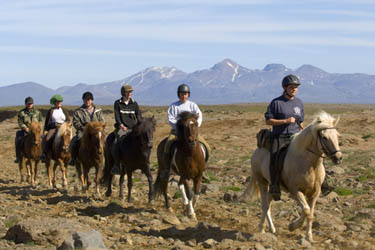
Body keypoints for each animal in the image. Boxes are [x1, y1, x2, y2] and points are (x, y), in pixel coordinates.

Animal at [244, 111, 344, 242]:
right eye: (324, 137)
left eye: (337, 135)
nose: (338, 158)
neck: (308, 164)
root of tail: (257, 150)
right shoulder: (295, 191)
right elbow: (306, 210)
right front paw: (292, 226)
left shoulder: (315, 193)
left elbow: (310, 214)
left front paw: (309, 236)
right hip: (262, 182)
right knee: (265, 205)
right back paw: (261, 229)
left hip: (273, 187)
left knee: (268, 204)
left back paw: (272, 229)